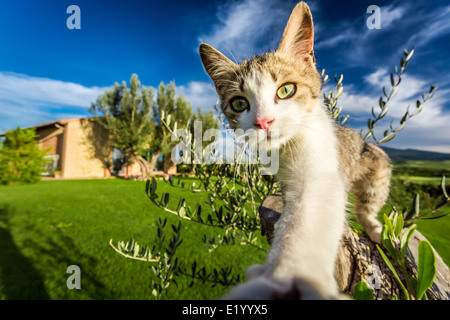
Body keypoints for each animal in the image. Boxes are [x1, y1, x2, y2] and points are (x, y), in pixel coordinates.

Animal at [199, 1, 392, 298]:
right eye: (239, 103)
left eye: (286, 89)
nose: (263, 121)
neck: (289, 147)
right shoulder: (287, 179)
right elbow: (289, 205)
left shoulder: (323, 169)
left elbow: (313, 211)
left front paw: (288, 272)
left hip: (375, 162)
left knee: (369, 201)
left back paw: (374, 227)